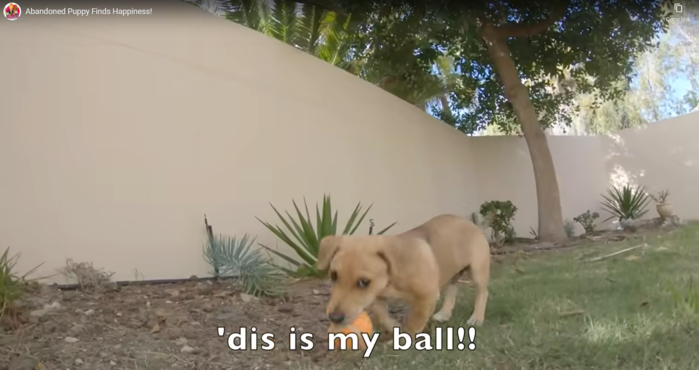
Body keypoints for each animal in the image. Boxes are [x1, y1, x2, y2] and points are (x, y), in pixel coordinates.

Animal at [318, 212, 492, 336]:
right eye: (334, 276)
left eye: (363, 282)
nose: (334, 318)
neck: (391, 279)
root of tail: (472, 224)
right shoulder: (376, 296)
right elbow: (381, 314)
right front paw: (393, 326)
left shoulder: (426, 296)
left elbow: (414, 321)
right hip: (452, 271)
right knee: (452, 289)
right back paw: (444, 313)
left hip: (478, 270)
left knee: (483, 293)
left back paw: (477, 318)